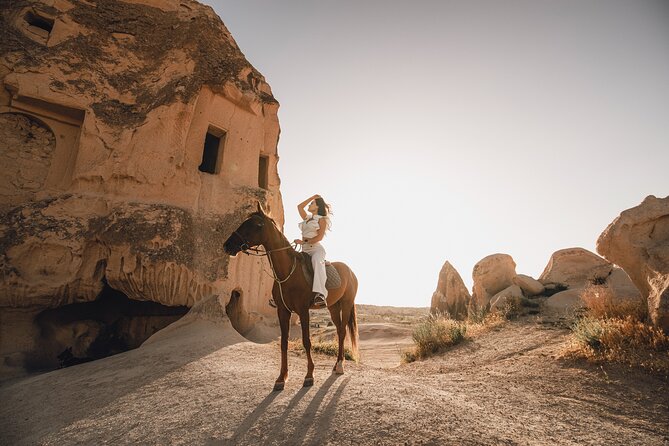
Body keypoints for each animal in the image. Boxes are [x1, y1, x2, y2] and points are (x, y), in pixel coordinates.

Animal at [223, 202, 360, 390]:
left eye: (256, 225)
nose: (227, 245)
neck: (288, 271)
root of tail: (350, 271)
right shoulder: (283, 311)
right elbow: (284, 342)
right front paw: (281, 378)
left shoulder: (303, 311)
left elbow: (306, 341)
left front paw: (309, 376)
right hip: (333, 306)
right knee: (339, 330)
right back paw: (336, 365)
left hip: (346, 305)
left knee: (342, 332)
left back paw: (339, 366)